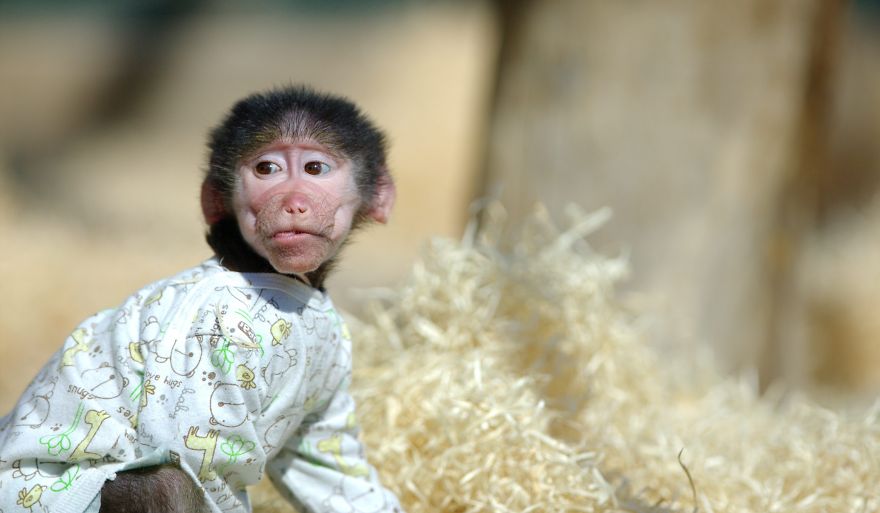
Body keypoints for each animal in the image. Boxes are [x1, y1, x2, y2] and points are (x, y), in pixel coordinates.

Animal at [0, 86, 404, 513]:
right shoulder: (213, 337)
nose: (292, 202)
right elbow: (195, 457)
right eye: (267, 170)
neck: (262, 270)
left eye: (314, 169)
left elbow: (330, 461)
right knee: (166, 484)